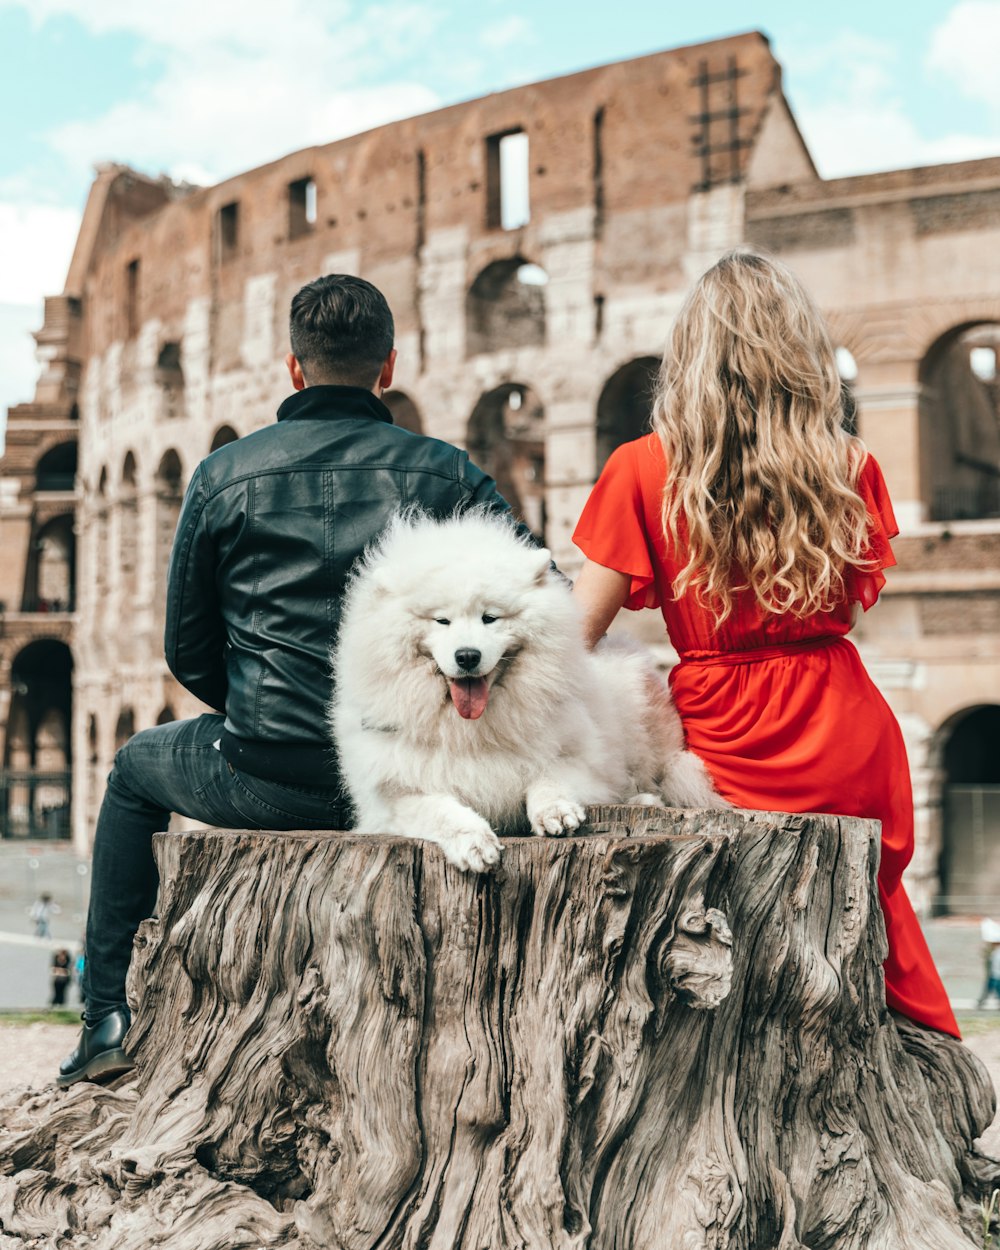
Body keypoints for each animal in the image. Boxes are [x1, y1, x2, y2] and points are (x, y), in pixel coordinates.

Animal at [332, 512, 725, 875]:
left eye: (490, 618)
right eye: (441, 621)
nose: (467, 655)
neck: (471, 730)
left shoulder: (580, 759)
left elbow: (548, 776)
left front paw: (556, 811)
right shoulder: (391, 795)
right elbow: (440, 810)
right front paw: (474, 842)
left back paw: (645, 800)